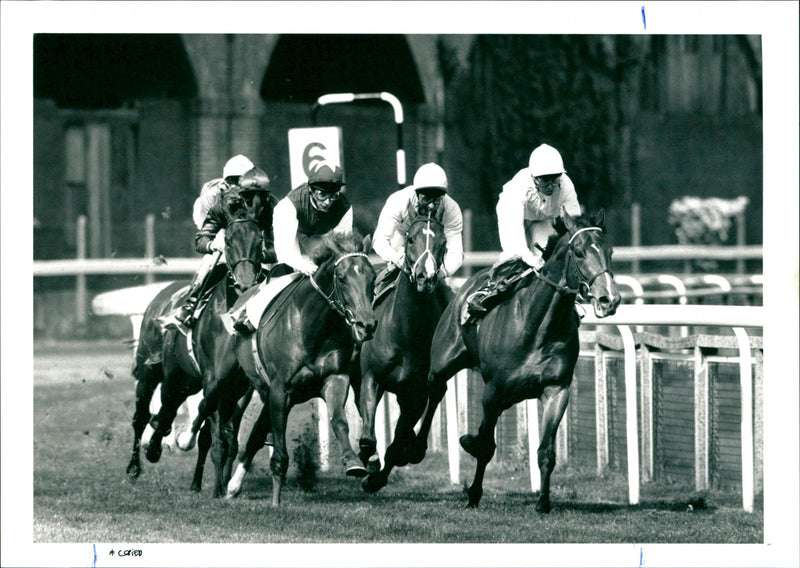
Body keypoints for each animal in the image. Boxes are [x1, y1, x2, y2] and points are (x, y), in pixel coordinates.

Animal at [126, 203, 266, 492]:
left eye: (260, 240)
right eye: (229, 240)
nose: (246, 282)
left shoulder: (238, 388)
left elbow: (217, 433)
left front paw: (211, 483)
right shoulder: (213, 379)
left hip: (188, 380)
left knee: (171, 412)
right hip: (156, 372)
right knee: (145, 414)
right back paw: (138, 461)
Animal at [184, 231, 378, 506]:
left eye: (372, 277)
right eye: (342, 278)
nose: (367, 325)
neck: (313, 328)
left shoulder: (334, 378)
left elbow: (338, 420)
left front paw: (353, 462)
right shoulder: (279, 390)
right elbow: (278, 450)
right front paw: (276, 500)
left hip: (243, 387)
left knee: (242, 431)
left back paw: (229, 485)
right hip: (219, 378)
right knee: (207, 409)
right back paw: (188, 446)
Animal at [352, 213, 446, 492]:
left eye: (443, 243)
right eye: (411, 239)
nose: (426, 277)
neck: (406, 331)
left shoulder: (417, 391)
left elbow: (397, 443)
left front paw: (376, 477)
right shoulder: (371, 377)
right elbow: (368, 437)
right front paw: (368, 460)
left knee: (437, 395)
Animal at [410, 211, 620, 512]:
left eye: (610, 251)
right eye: (579, 252)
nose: (609, 299)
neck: (539, 325)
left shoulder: (557, 390)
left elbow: (546, 451)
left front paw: (543, 501)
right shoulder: (493, 390)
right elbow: (486, 446)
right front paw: (473, 493)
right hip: (443, 361)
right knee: (436, 390)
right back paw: (412, 449)